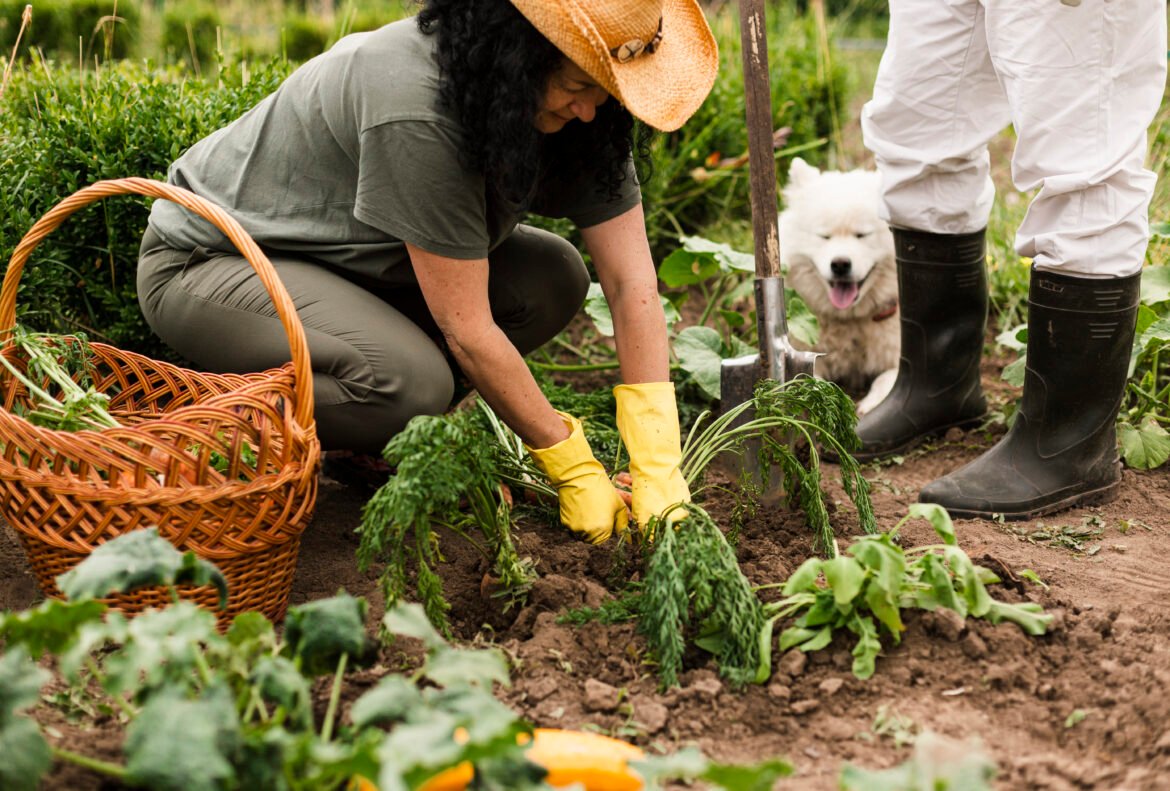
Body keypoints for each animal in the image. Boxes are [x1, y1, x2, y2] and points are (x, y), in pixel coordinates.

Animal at [781, 155, 898, 414]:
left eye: (862, 235)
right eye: (824, 236)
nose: (841, 264)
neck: (850, 318)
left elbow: (887, 379)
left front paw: (871, 405)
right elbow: (812, 382)